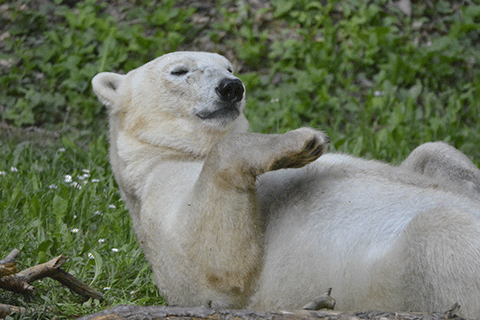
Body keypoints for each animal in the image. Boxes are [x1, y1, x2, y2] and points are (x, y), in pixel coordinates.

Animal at [91, 51, 480, 316]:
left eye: (228, 66)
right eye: (179, 70)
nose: (231, 88)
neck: (177, 154)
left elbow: (428, 152)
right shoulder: (159, 199)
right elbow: (216, 269)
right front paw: (300, 142)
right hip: (392, 274)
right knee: (437, 233)